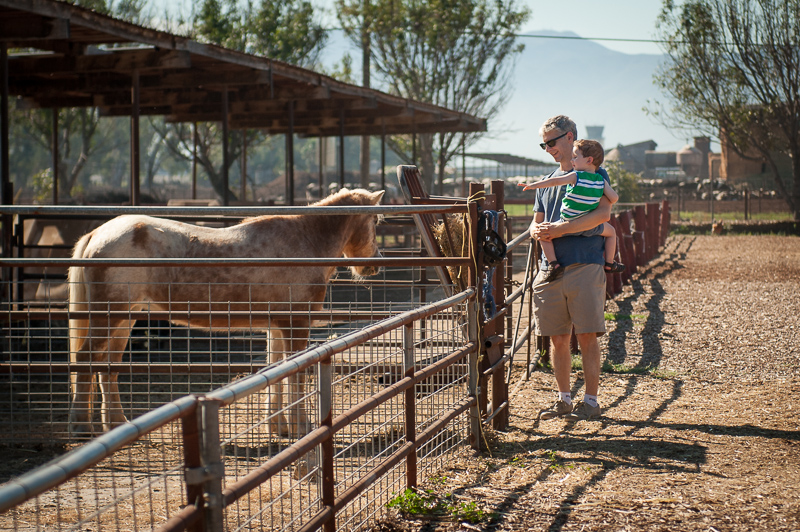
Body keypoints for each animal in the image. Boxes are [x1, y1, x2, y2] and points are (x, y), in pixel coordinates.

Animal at [67, 189, 386, 438]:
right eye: (375, 221)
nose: (375, 264)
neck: (305, 241)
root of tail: (98, 233)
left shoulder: (277, 326)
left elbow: (278, 372)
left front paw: (279, 427)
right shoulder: (295, 325)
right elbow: (295, 376)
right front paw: (301, 428)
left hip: (124, 318)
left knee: (107, 367)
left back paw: (116, 424)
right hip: (109, 318)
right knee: (85, 360)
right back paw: (82, 427)